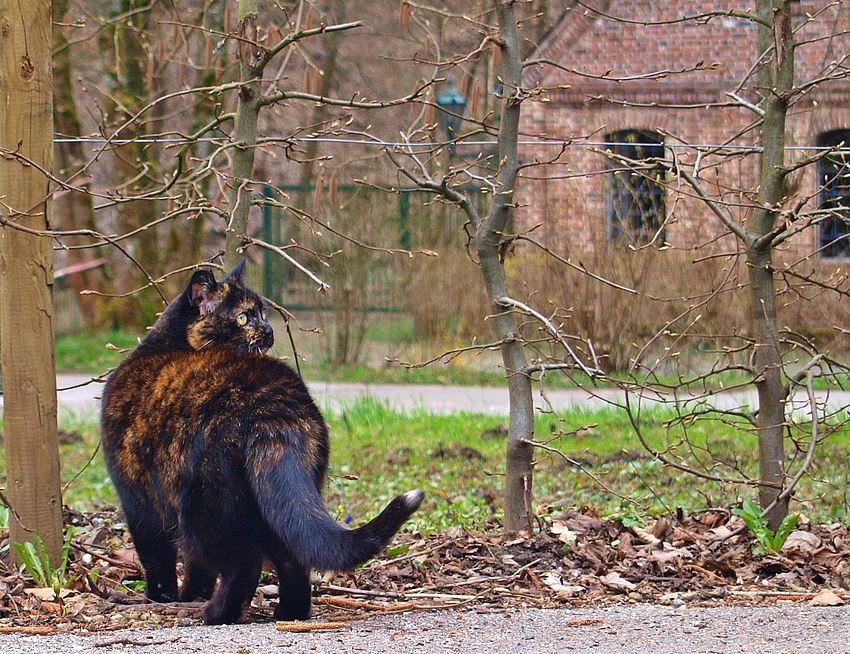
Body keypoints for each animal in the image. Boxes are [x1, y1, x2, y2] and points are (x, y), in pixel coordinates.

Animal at [100, 262, 424, 624]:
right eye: (244, 317)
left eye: (261, 313)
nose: (268, 330)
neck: (167, 343)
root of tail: (274, 406)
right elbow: (197, 567)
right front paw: (191, 594)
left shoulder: (138, 503)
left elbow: (159, 559)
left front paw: (164, 598)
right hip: (278, 498)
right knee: (292, 555)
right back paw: (289, 613)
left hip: (206, 505)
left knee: (243, 561)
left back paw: (217, 613)